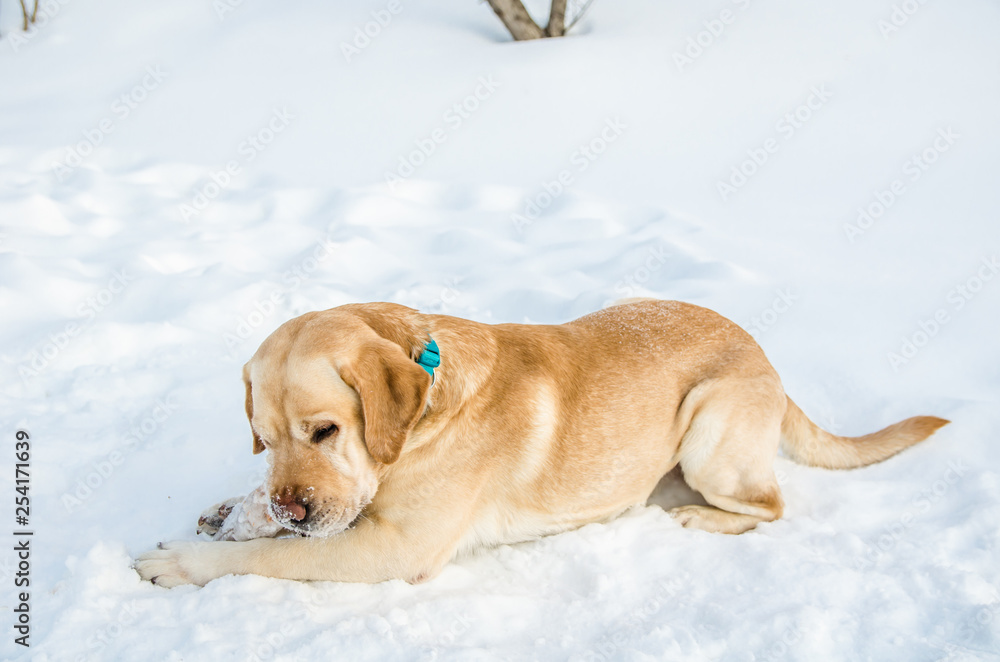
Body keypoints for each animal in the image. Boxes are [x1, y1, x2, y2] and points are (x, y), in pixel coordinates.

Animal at [137, 300, 948, 588]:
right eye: (265, 440)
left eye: (326, 431)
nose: (292, 507)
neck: (425, 410)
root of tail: (767, 357)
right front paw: (235, 511)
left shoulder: (393, 548)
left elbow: (275, 557)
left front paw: (185, 560)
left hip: (710, 428)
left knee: (769, 505)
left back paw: (695, 514)